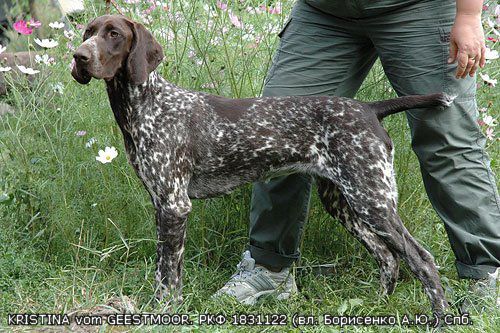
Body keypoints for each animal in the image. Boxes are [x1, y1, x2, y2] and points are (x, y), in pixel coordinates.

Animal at [72, 14, 456, 312]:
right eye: (88, 31)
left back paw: (438, 316)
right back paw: (377, 306)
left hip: (372, 199)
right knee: (388, 257)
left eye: (113, 34)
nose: (78, 56)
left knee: (421, 259)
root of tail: (368, 108)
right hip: (344, 201)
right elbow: (167, 269)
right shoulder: (162, 205)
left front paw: (163, 310)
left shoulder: (174, 205)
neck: (147, 104)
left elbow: (167, 273)